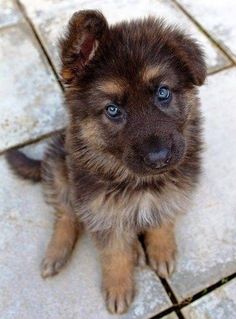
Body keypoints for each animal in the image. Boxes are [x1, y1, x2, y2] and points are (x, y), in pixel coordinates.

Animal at [6, 10, 206, 316]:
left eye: (163, 93)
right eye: (113, 110)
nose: (159, 159)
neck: (138, 182)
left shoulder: (173, 192)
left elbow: (162, 222)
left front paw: (161, 249)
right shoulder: (100, 211)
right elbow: (114, 252)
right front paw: (119, 286)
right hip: (58, 165)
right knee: (66, 215)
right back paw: (57, 251)